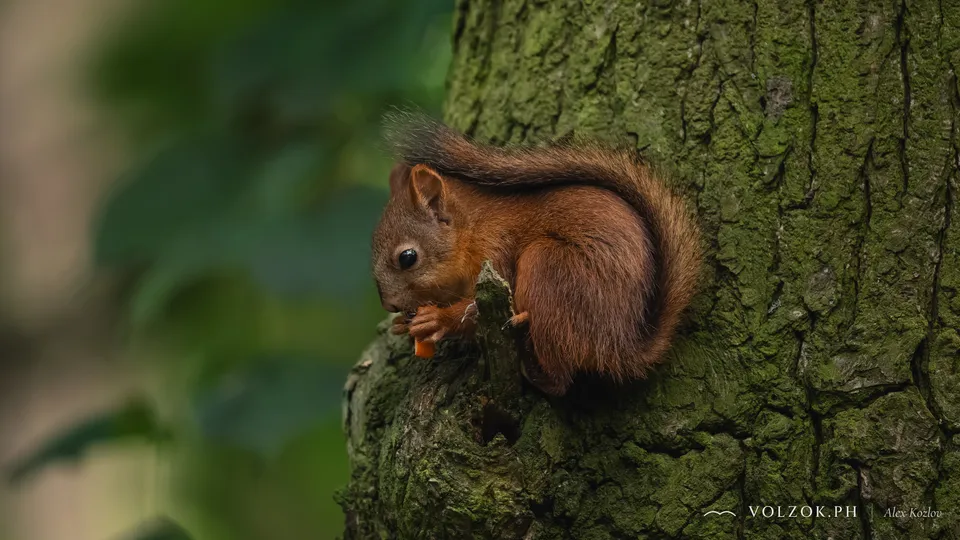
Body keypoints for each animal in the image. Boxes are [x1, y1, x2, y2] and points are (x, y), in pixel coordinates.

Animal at [371, 111, 702, 396]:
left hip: (548, 266)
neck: (473, 229)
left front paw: (437, 320)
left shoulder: (498, 253)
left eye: (407, 257)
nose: (389, 305)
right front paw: (403, 325)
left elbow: (474, 313)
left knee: (560, 379)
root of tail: (620, 346)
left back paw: (531, 364)